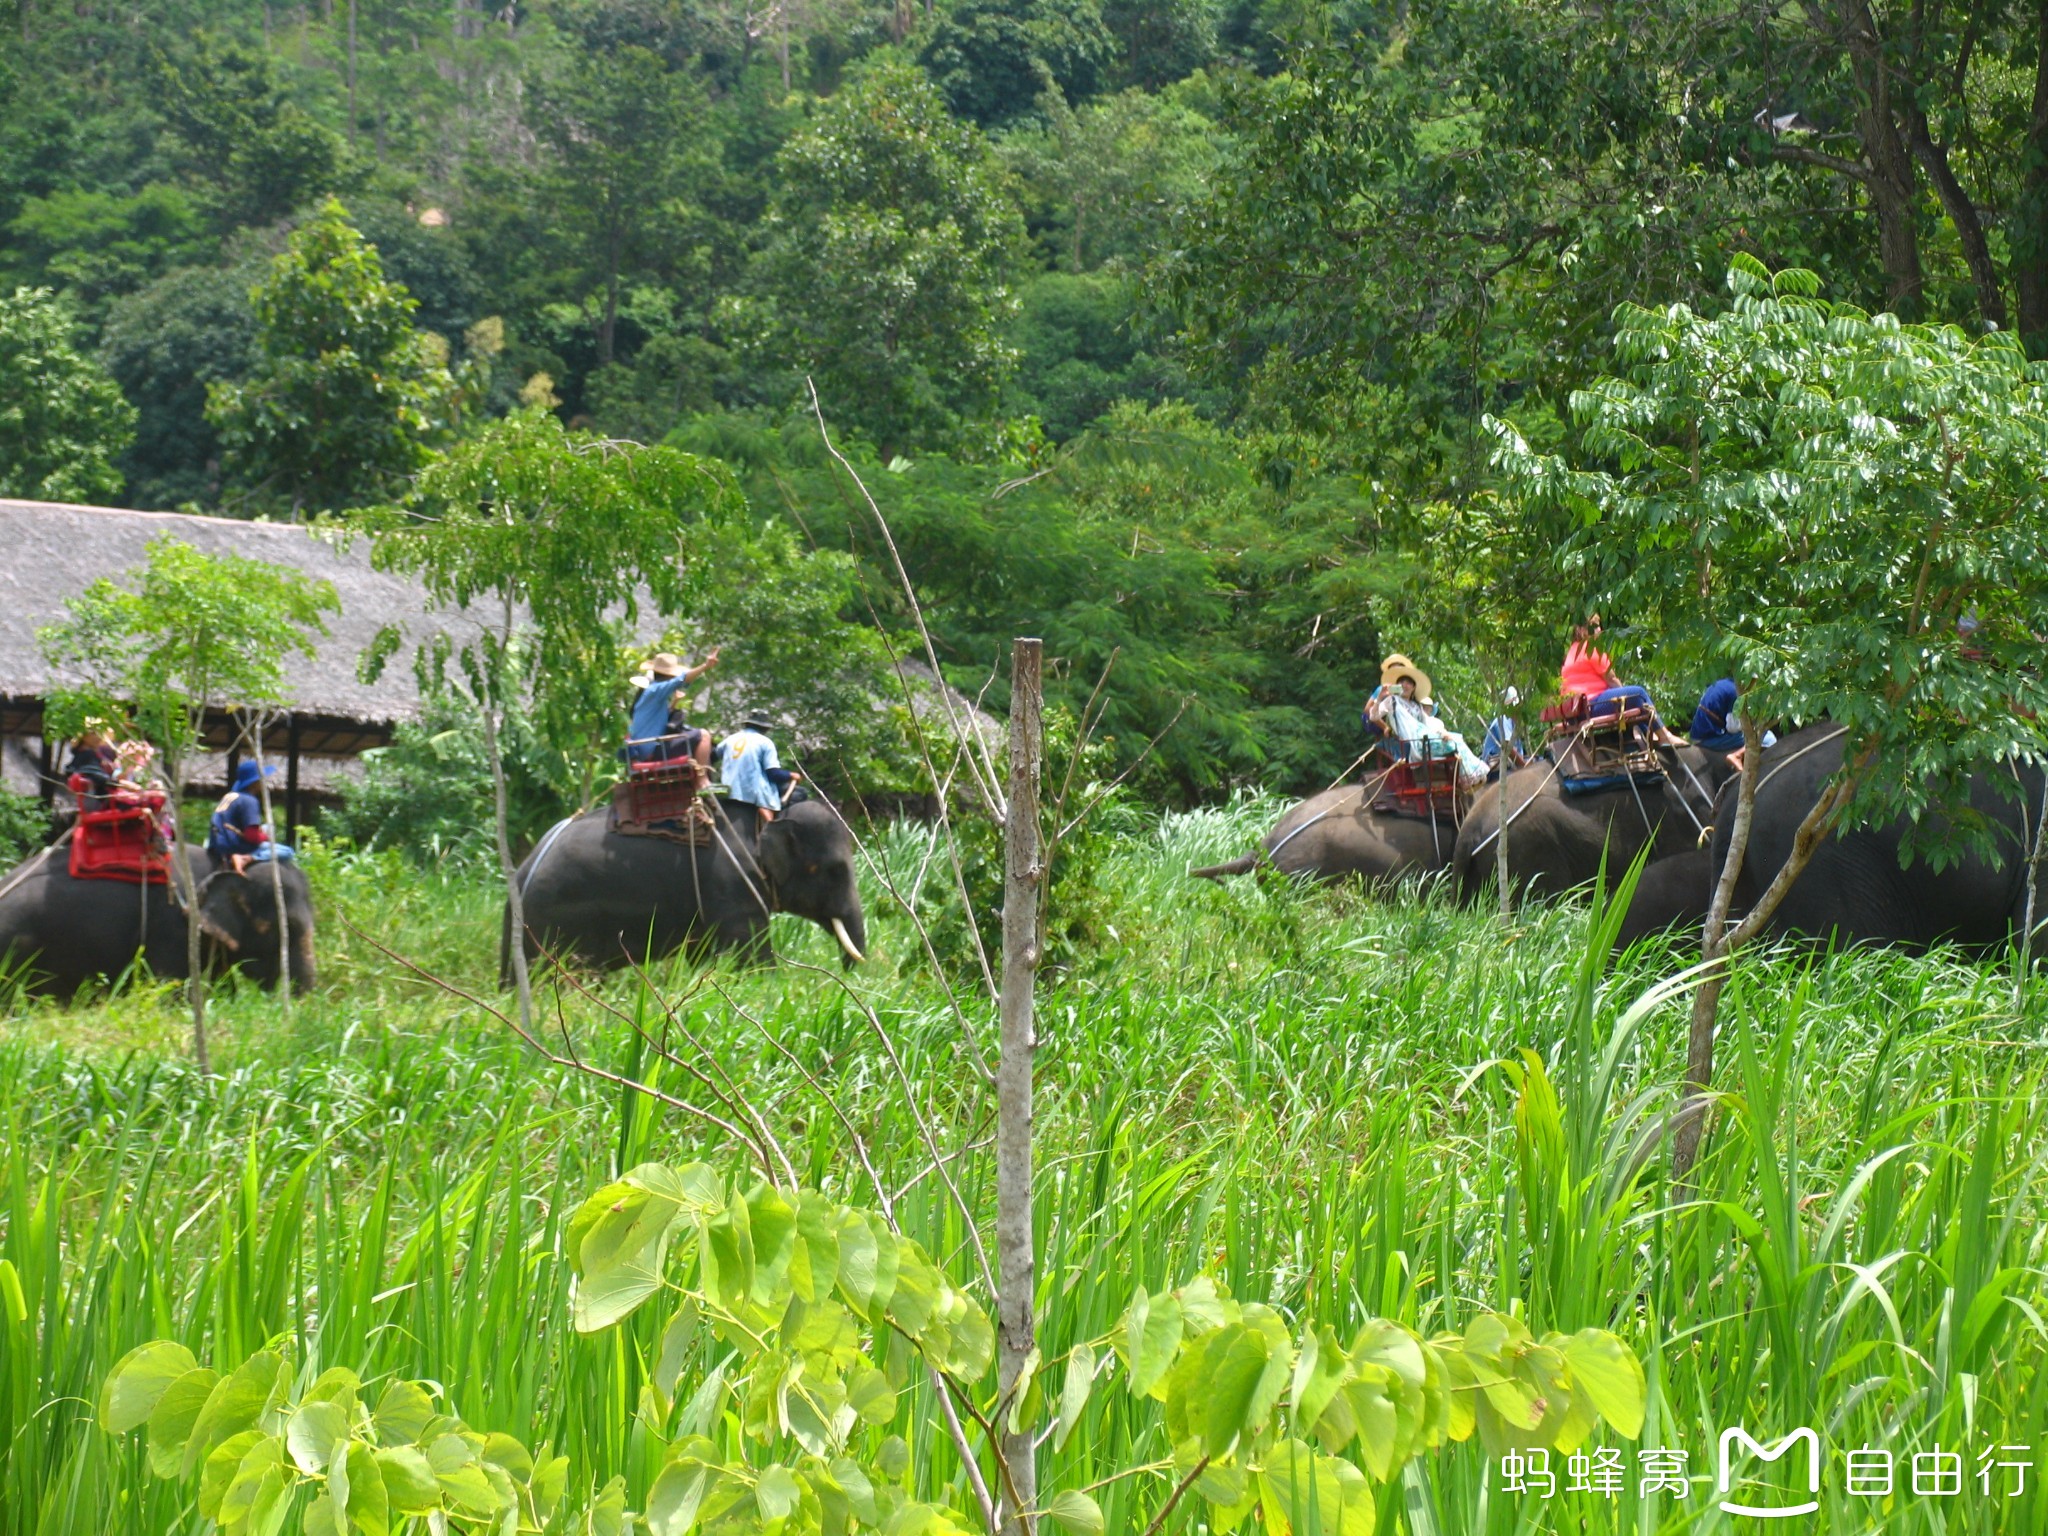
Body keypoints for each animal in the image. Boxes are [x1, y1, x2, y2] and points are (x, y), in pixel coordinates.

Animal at [512, 794, 872, 974]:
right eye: (833, 870)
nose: (848, 976)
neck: (768, 819)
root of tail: (525, 871)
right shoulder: (733, 882)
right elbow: (751, 950)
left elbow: (699, 951)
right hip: (560, 925)